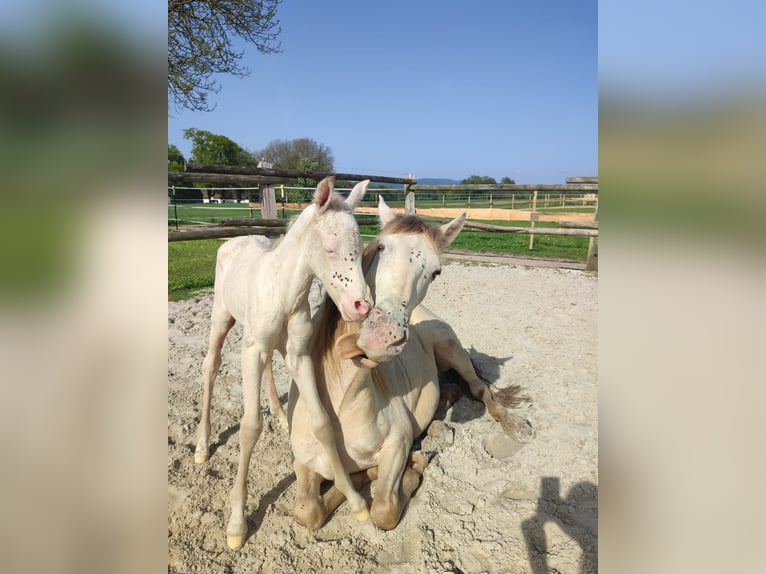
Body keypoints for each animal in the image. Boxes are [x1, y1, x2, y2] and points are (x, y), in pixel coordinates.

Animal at [194, 177, 376, 548]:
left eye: (361, 244)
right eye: (330, 248)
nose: (361, 306)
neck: (285, 292)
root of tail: (233, 241)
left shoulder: (298, 354)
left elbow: (323, 422)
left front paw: (355, 500)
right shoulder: (251, 351)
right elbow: (250, 427)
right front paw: (237, 525)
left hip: (270, 344)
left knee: (266, 370)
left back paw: (281, 418)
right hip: (222, 318)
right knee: (211, 366)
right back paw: (202, 445)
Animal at [286, 200, 536, 532]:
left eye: (436, 272)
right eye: (380, 247)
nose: (383, 334)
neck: (343, 403)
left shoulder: (397, 443)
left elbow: (382, 510)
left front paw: (412, 466)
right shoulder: (303, 462)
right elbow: (307, 511)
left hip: (452, 350)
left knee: (480, 389)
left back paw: (515, 426)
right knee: (452, 390)